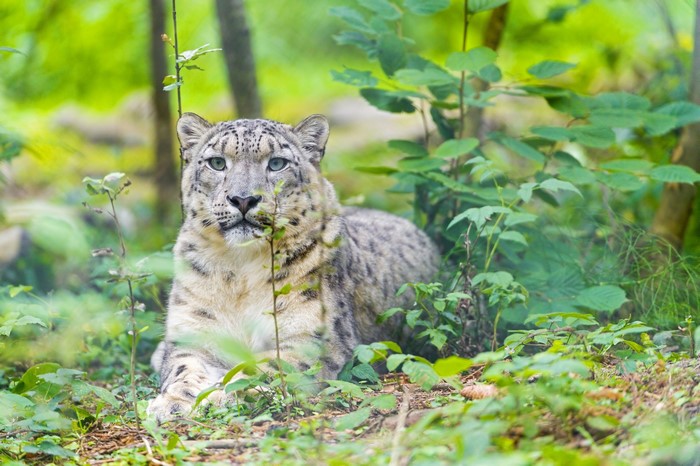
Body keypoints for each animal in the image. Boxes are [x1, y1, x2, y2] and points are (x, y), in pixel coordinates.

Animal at [147, 112, 440, 422]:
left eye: (277, 163)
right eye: (217, 162)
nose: (243, 199)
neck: (241, 271)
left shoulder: (310, 339)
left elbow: (261, 369)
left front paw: (219, 397)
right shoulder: (195, 335)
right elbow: (184, 368)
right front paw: (171, 403)